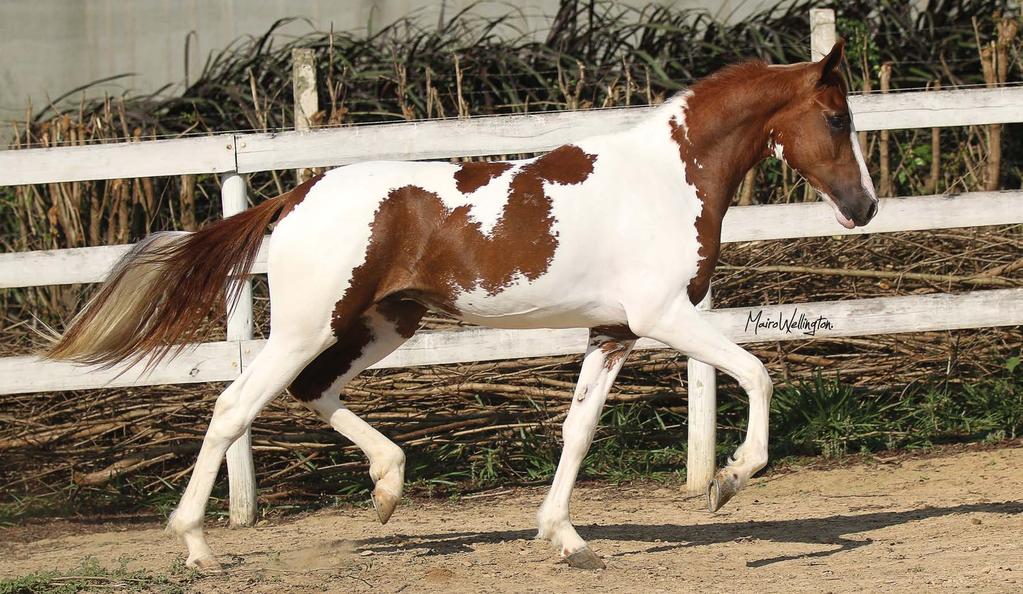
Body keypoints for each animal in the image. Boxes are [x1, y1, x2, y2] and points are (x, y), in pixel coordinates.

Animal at [49, 39, 879, 568]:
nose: (864, 207)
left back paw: (388, 488)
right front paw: (728, 481)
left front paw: (564, 538)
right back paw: (196, 545)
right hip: (309, 325)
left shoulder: (612, 331)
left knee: (312, 391)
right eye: (835, 119)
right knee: (234, 406)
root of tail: (296, 195)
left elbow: (577, 432)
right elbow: (758, 373)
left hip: (386, 321)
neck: (665, 179)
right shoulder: (662, 317)